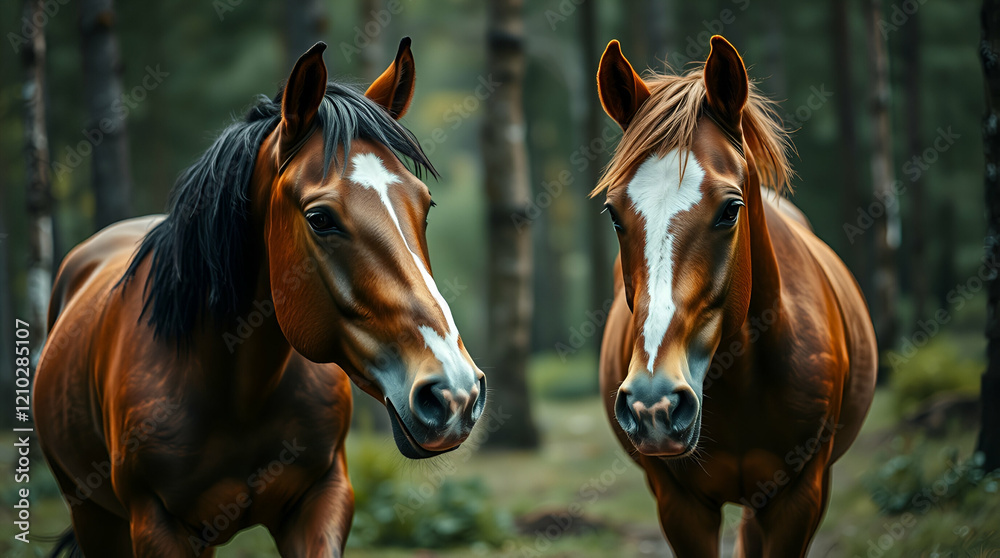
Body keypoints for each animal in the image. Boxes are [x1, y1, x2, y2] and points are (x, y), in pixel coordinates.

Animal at [34, 38, 486, 557]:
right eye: (320, 218)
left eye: (425, 205)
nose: (455, 393)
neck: (239, 392)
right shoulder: (155, 524)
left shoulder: (322, 500)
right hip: (93, 516)